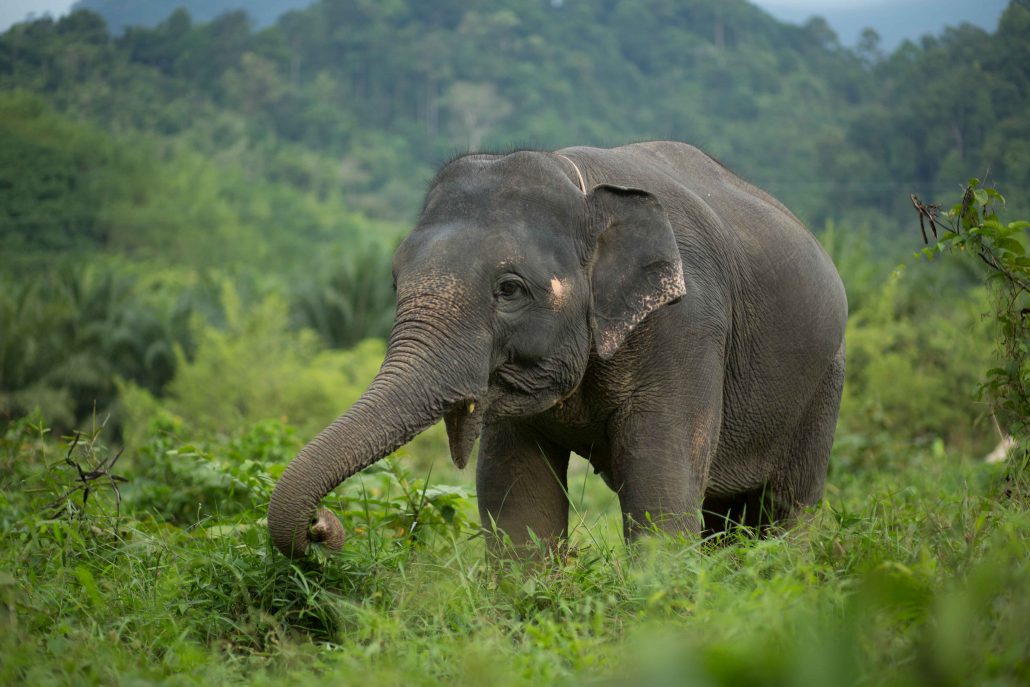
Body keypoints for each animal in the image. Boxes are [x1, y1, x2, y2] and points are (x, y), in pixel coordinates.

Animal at [267, 141, 847, 558]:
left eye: (509, 289)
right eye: (393, 282)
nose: (322, 526)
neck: (580, 183)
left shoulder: (686, 326)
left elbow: (661, 482)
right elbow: (516, 490)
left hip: (825, 382)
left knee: (786, 506)